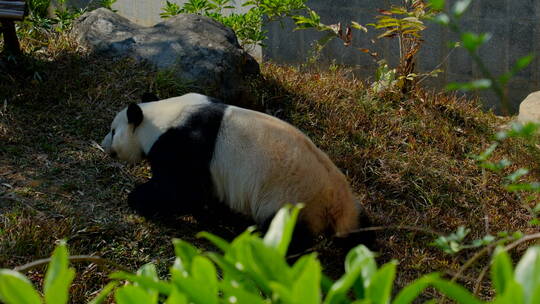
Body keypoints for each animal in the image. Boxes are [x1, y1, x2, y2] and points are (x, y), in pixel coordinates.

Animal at [100, 94, 362, 239]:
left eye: (113, 131)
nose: (104, 146)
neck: (160, 117)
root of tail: (339, 202)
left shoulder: (184, 144)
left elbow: (179, 191)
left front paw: (139, 200)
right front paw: (213, 215)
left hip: (293, 200)